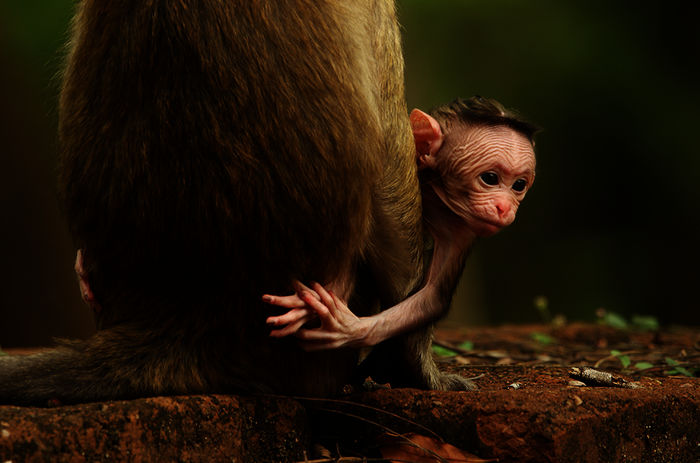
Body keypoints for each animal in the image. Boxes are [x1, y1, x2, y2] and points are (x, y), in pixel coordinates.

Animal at [262, 98, 536, 352]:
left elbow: (433, 296)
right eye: (490, 178)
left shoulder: (461, 230)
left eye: (519, 185)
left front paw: (350, 329)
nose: (505, 208)